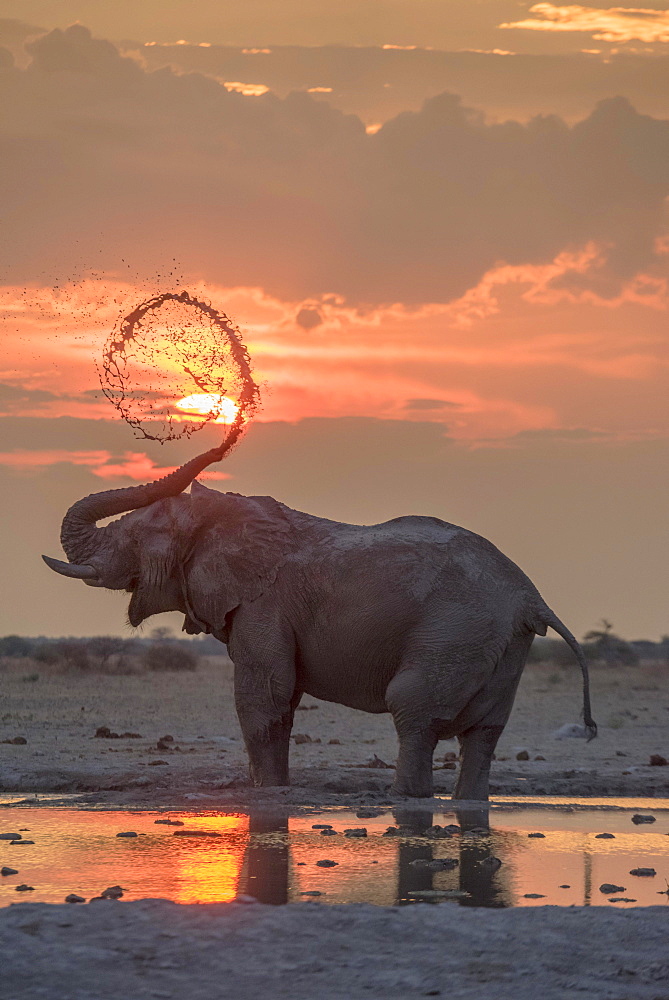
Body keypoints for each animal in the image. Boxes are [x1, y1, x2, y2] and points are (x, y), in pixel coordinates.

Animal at [41, 444, 596, 796]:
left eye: (136, 536)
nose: (225, 435)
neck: (223, 514)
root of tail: (531, 597)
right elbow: (281, 701)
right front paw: (278, 790)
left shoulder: (264, 603)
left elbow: (262, 697)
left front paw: (266, 793)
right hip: (503, 644)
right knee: (483, 734)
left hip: (456, 630)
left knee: (414, 712)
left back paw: (405, 800)